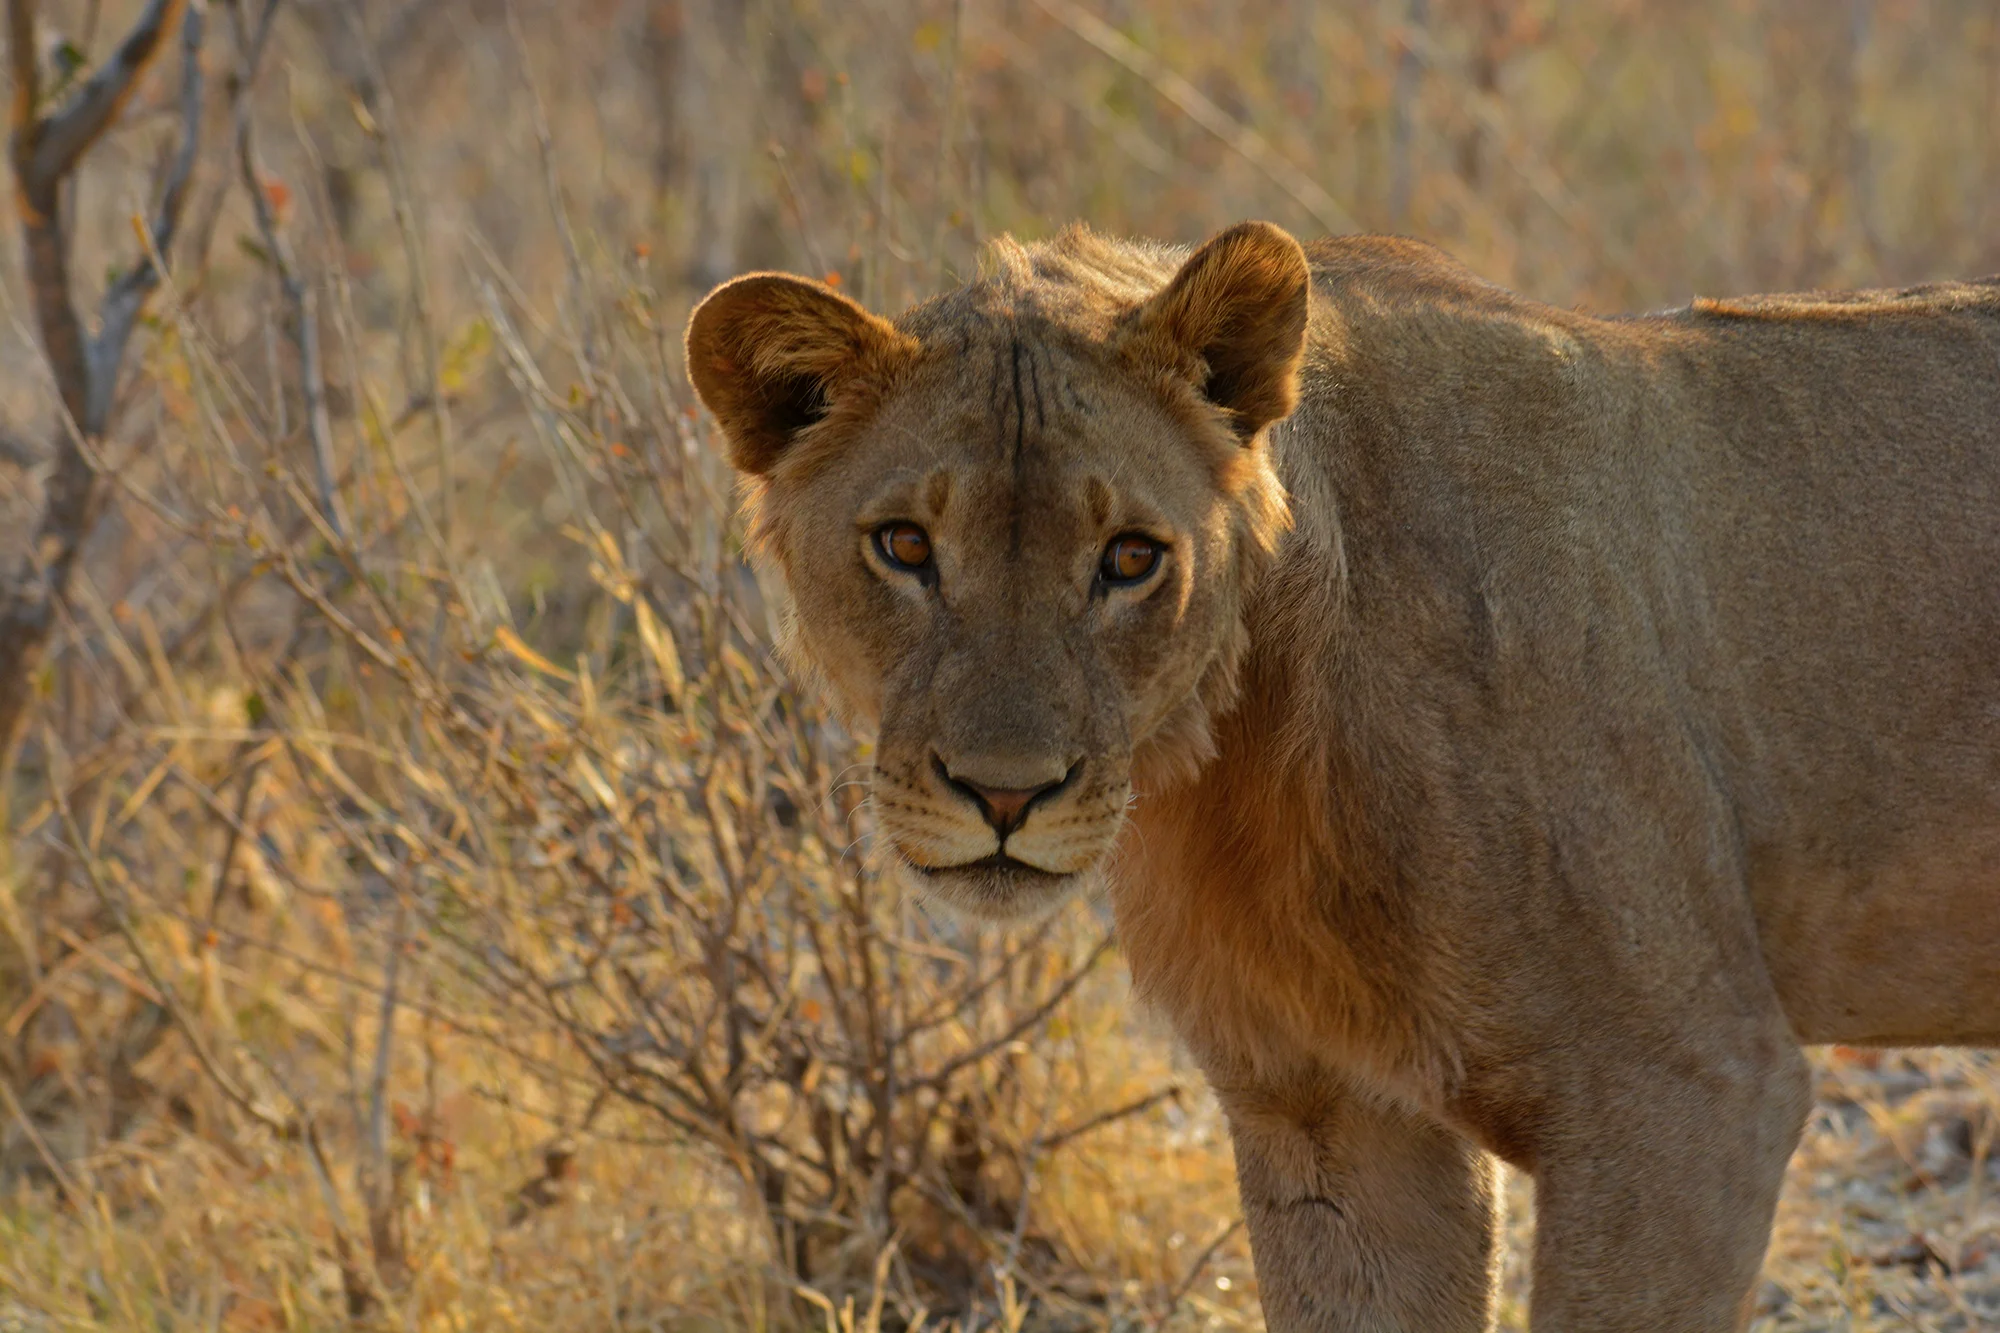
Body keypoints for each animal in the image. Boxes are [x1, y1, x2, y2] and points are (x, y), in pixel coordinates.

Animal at [684, 220, 2000, 1331]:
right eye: (904, 545)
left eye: (1129, 559)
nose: (1004, 795)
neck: (1237, 770)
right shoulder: (1328, 1112)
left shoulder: (1686, 1089)